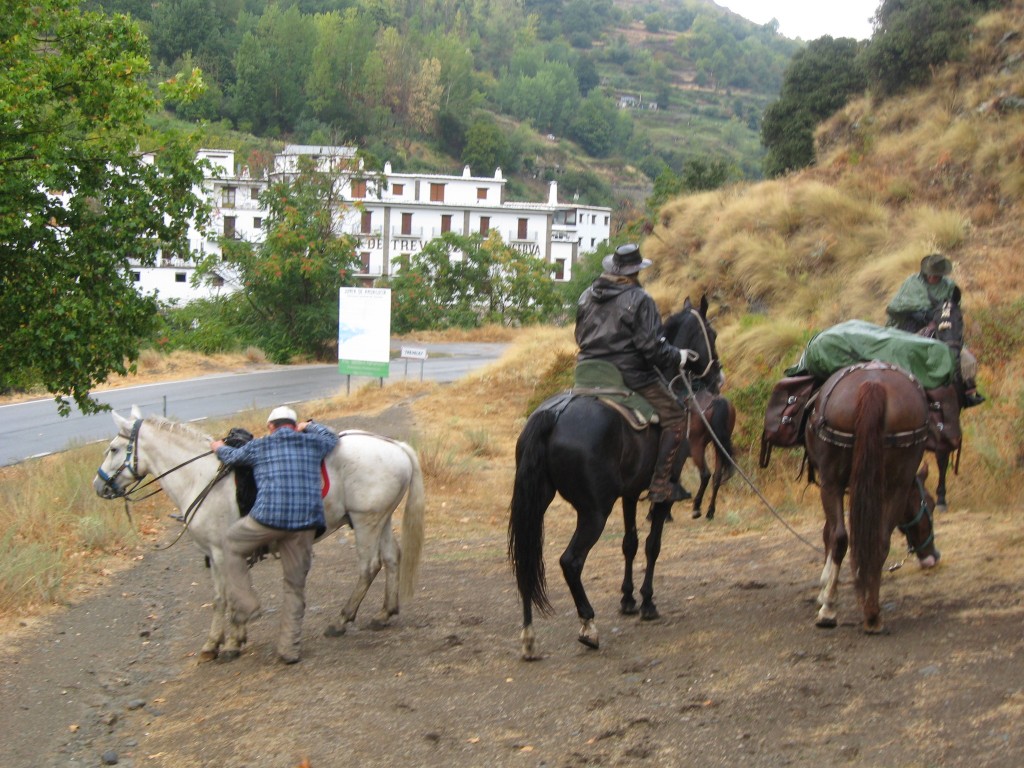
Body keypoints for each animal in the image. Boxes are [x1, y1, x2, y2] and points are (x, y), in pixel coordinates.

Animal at [90, 405, 421, 663]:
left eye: (114, 449)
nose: (99, 485)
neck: (201, 477)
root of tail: (396, 447)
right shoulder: (215, 555)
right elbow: (223, 596)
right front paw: (225, 640)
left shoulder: (221, 552)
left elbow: (227, 598)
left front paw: (227, 643)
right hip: (379, 520)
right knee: (392, 559)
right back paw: (385, 613)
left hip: (366, 523)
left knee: (369, 567)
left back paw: (342, 620)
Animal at [802, 364, 937, 634]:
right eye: (932, 503)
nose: (932, 557)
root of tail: (874, 385)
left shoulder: (829, 484)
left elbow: (829, 533)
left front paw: (824, 592)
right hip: (896, 483)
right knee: (880, 542)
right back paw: (872, 614)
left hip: (832, 482)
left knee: (841, 538)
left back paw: (829, 609)